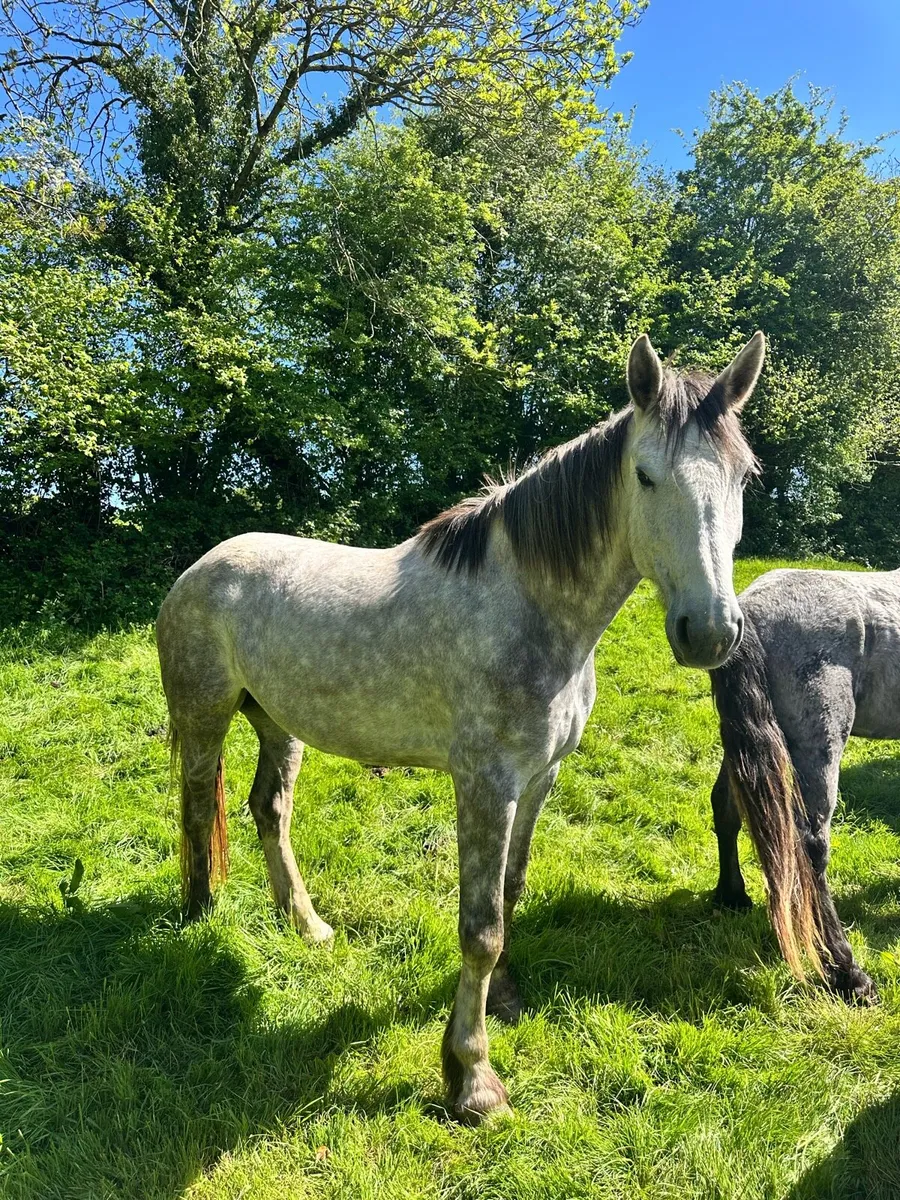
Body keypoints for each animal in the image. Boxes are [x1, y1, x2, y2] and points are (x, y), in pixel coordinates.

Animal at [156, 331, 765, 1123]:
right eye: (645, 475)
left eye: (744, 477)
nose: (710, 632)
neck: (529, 607)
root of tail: (200, 568)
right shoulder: (485, 784)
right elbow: (479, 929)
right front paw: (471, 1079)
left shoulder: (538, 780)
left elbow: (509, 892)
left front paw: (501, 1001)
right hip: (205, 714)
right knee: (200, 808)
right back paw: (200, 914)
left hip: (277, 721)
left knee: (269, 810)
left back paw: (307, 926)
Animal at [709, 565, 900, 1003]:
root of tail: (750, 608)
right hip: (819, 744)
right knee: (811, 847)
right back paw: (849, 974)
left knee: (725, 810)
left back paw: (731, 896)